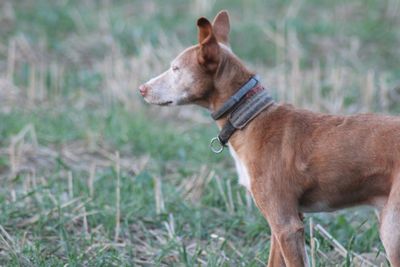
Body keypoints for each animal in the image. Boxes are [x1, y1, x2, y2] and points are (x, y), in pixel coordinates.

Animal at [138, 11, 400, 267]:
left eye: (175, 69)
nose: (141, 88)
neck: (249, 117)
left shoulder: (287, 225)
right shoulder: (282, 224)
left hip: (391, 230)